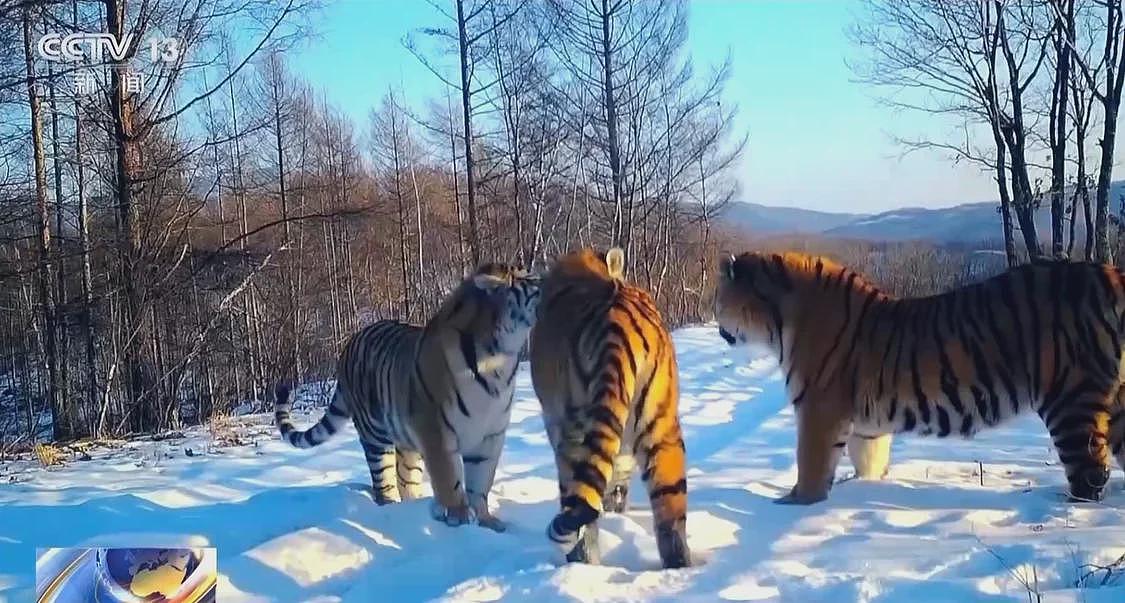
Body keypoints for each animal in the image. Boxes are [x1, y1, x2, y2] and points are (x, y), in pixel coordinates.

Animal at [274, 263, 540, 531]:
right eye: (535, 280)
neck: (500, 358)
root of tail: (348, 346)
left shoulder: (490, 435)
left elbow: (481, 482)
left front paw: (486, 521)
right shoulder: (437, 432)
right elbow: (449, 479)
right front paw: (459, 516)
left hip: (407, 442)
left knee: (406, 480)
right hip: (376, 437)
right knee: (384, 481)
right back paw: (393, 508)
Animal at [530, 247, 690, 569]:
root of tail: (619, 331)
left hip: (573, 434)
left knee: (579, 509)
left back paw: (579, 562)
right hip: (662, 426)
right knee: (670, 510)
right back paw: (679, 566)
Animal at [713, 251, 1125, 505]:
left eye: (718, 299)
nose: (717, 326)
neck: (779, 323)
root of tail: (1110, 274)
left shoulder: (818, 408)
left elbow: (810, 463)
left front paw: (795, 503)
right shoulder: (866, 423)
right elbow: (868, 458)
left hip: (1071, 400)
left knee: (1089, 475)